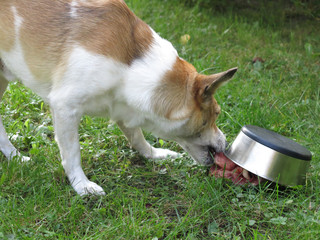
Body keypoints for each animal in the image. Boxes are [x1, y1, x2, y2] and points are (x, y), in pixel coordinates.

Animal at [0, 0, 235, 195]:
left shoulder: (124, 108)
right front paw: (82, 185)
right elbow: (72, 153)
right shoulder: (65, 106)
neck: (132, 63)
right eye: (216, 114)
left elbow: (138, 138)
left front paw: (155, 154)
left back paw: (15, 157)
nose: (226, 145)